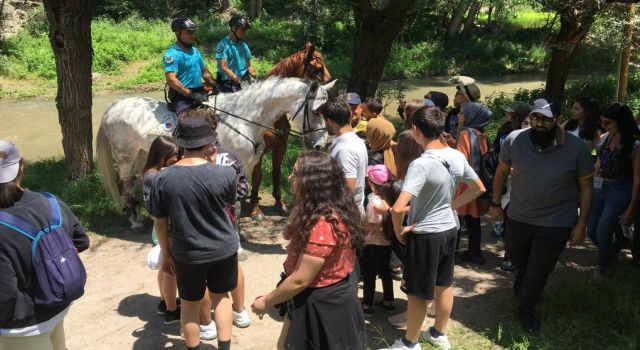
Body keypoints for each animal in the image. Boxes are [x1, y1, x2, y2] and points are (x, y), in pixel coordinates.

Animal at [96, 77, 336, 228]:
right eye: (316, 111)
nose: (320, 145)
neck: (243, 118)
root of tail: (113, 107)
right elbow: (234, 203)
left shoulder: (248, 166)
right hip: (125, 157)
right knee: (124, 184)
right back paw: (134, 220)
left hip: (140, 154)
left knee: (134, 181)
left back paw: (137, 215)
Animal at [250, 42, 332, 217]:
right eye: (318, 68)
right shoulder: (258, 150)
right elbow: (257, 176)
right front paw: (255, 207)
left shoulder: (281, 146)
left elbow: (276, 172)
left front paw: (279, 202)